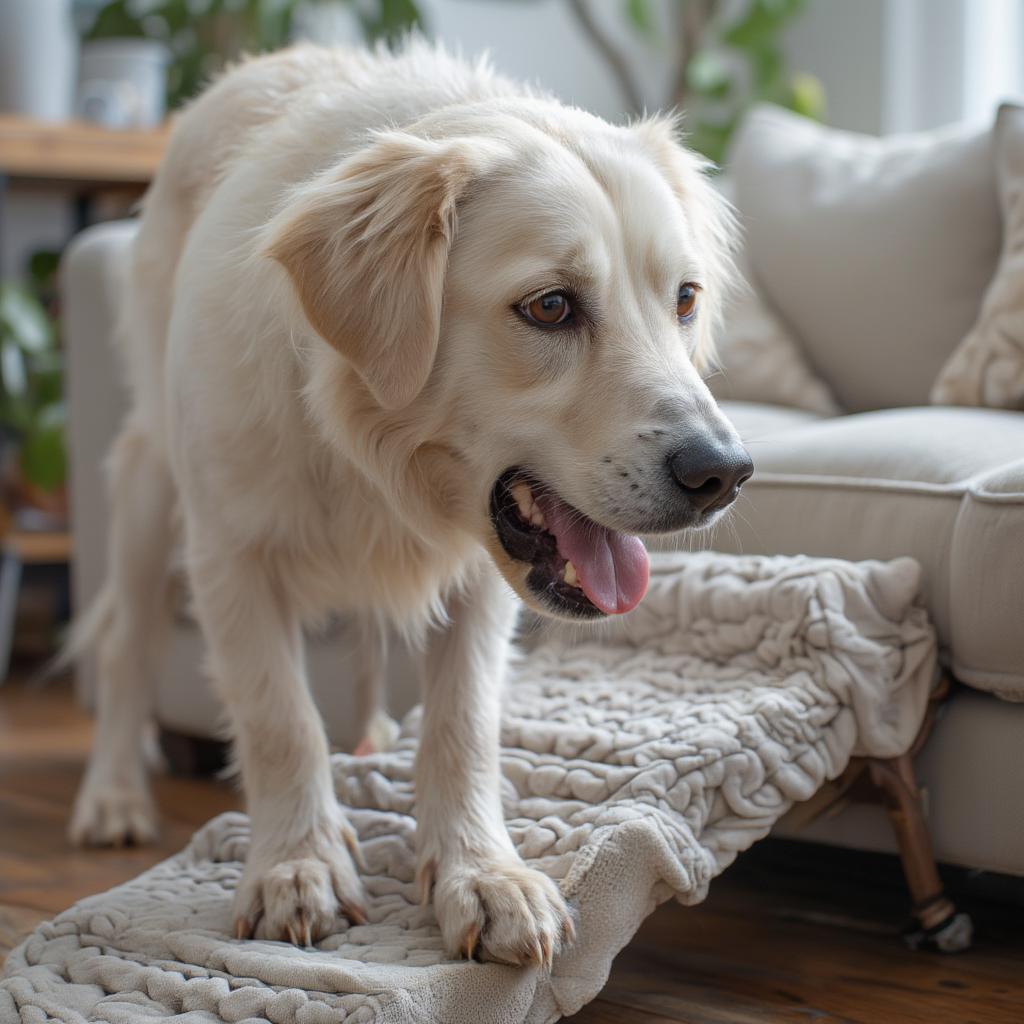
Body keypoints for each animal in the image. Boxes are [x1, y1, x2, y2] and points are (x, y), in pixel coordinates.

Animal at [68, 41, 749, 966]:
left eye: (685, 298)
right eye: (550, 306)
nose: (724, 472)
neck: (372, 456)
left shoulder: (483, 580)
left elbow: (462, 726)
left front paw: (481, 877)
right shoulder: (231, 557)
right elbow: (280, 719)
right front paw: (296, 867)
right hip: (149, 478)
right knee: (124, 645)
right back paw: (112, 795)